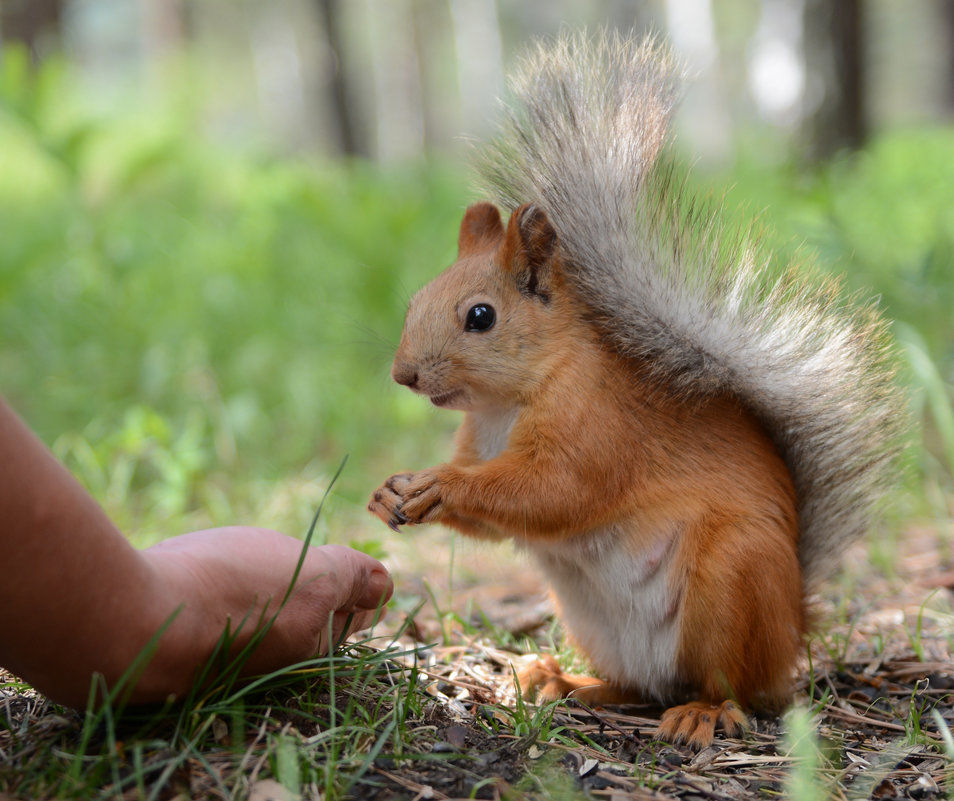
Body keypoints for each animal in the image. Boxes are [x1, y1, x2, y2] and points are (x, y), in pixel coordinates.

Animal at [368, 29, 904, 744]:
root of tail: (793, 631)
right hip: (591, 620)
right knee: (637, 687)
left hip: (730, 583)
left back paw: (704, 712)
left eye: (479, 317)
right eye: (415, 300)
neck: (505, 405)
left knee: (730, 687)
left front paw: (440, 486)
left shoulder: (598, 426)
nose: (404, 374)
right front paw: (390, 492)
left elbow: (550, 492)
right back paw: (562, 682)